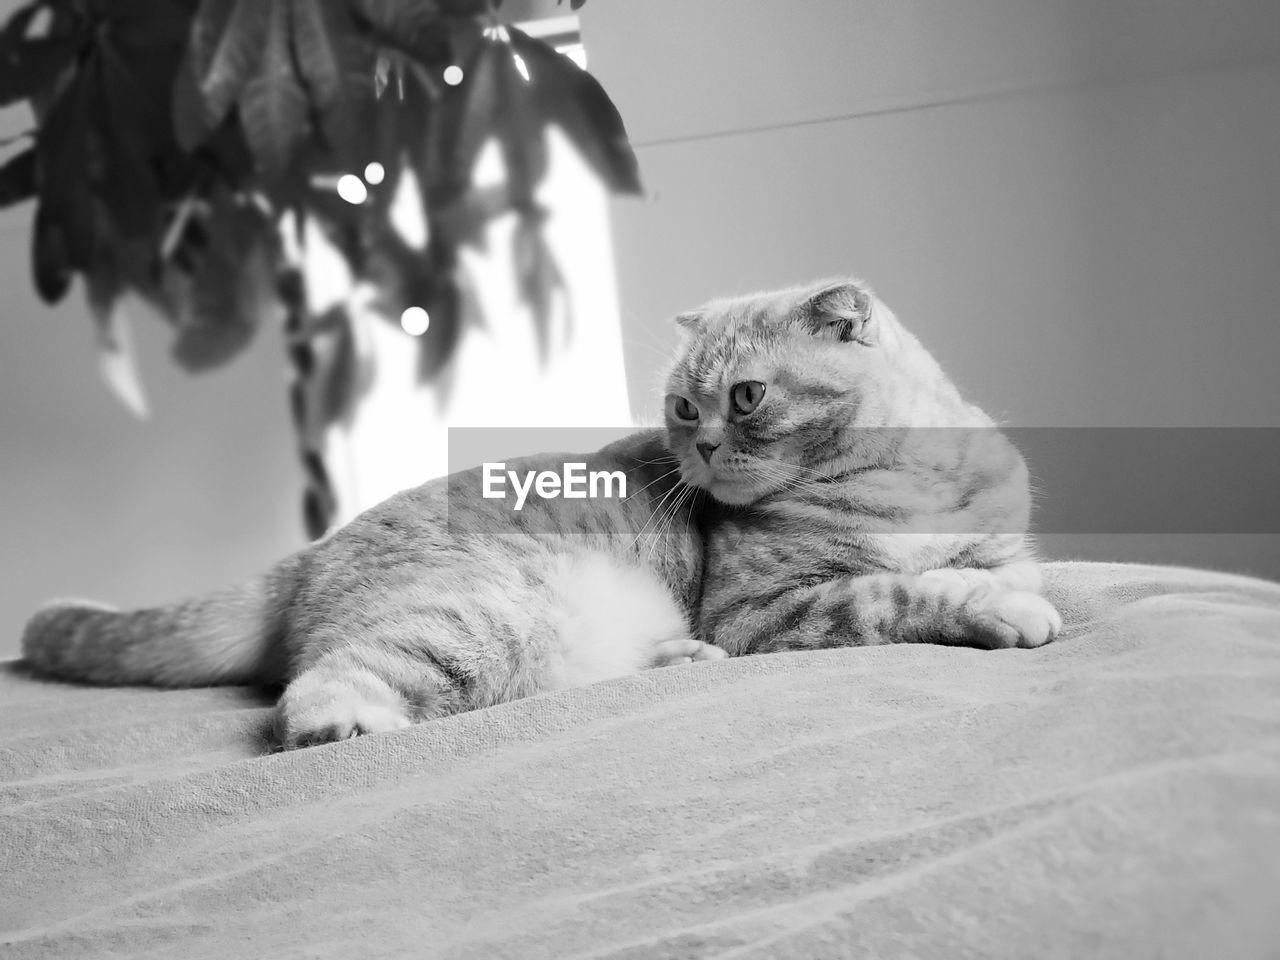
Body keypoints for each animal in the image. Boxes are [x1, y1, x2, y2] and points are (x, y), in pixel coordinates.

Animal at [22, 277, 1059, 752]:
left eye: (745, 397)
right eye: (682, 408)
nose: (696, 450)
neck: (906, 471)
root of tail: (310, 551)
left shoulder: (998, 540)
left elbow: (978, 568)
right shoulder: (768, 610)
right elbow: (906, 592)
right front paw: (998, 609)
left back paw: (678, 659)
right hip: (484, 620)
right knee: (314, 691)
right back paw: (344, 726)